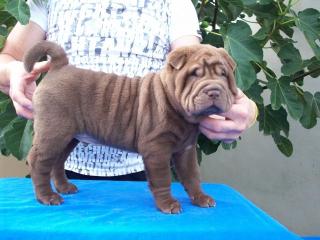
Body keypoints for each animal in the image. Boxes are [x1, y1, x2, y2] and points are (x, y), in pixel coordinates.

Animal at [23, 40, 236, 214]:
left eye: (223, 75)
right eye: (194, 75)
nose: (214, 91)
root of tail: (60, 66)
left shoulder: (186, 150)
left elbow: (192, 175)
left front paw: (201, 198)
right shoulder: (156, 149)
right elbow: (163, 178)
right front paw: (168, 204)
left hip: (69, 136)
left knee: (58, 161)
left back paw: (64, 188)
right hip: (54, 130)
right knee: (39, 161)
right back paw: (47, 197)